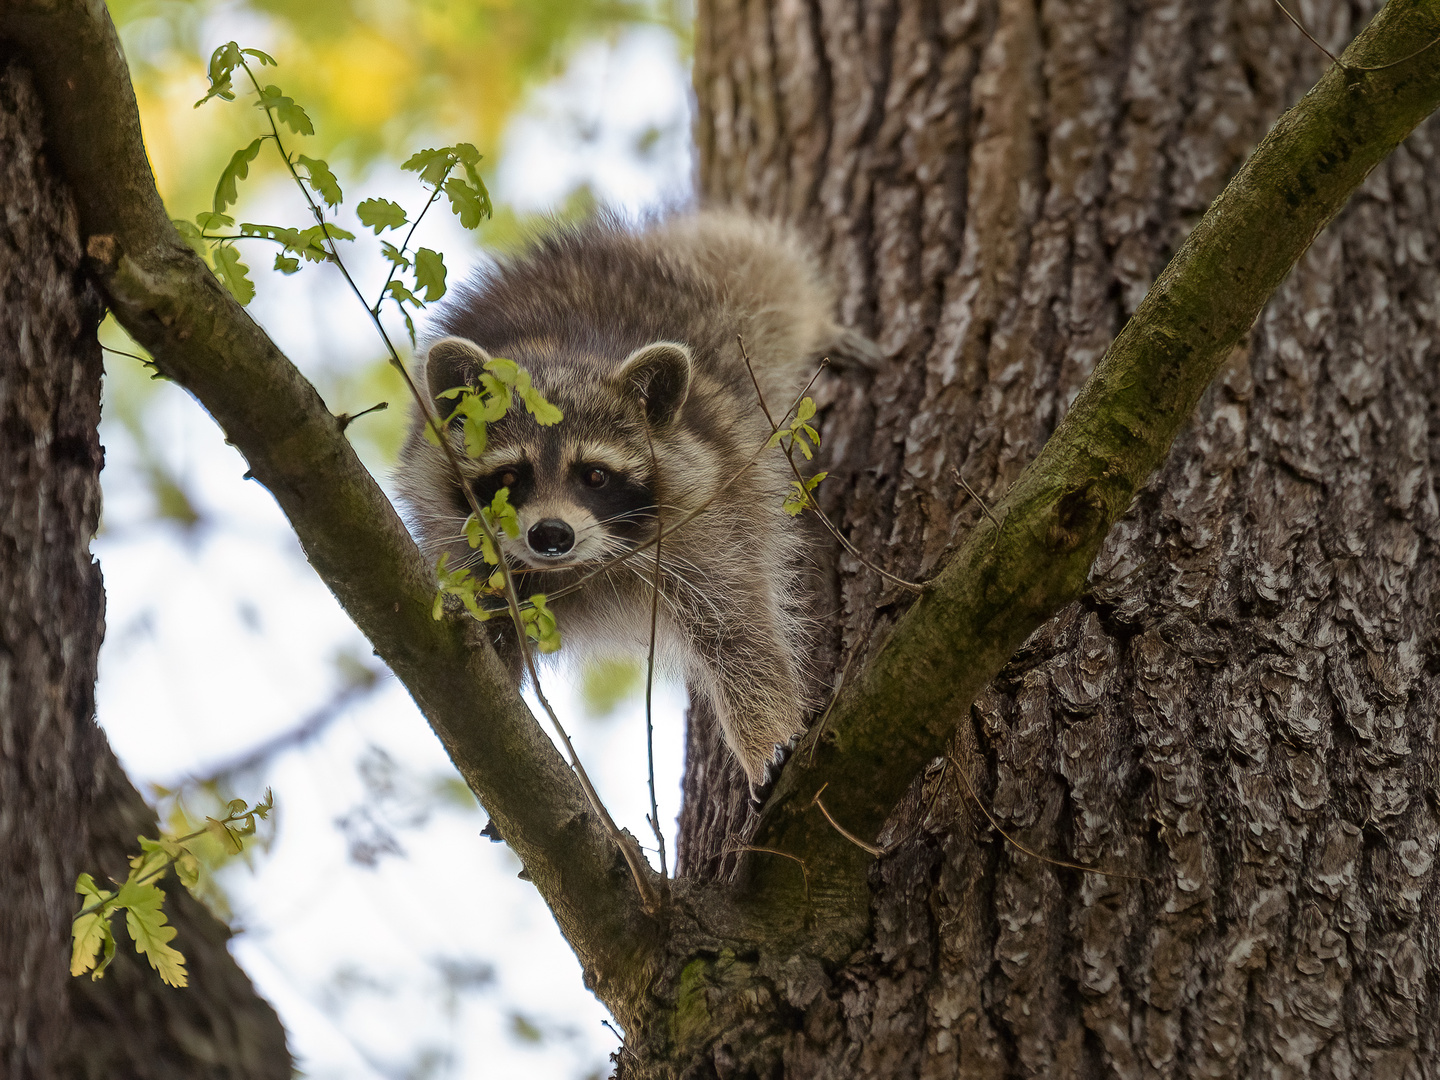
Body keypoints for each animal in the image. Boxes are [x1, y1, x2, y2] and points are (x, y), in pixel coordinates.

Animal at [394, 213, 864, 794]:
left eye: (594, 475)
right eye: (509, 476)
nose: (551, 535)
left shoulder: (709, 516)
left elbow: (740, 633)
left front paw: (766, 737)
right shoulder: (460, 544)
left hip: (717, 281)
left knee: (764, 270)